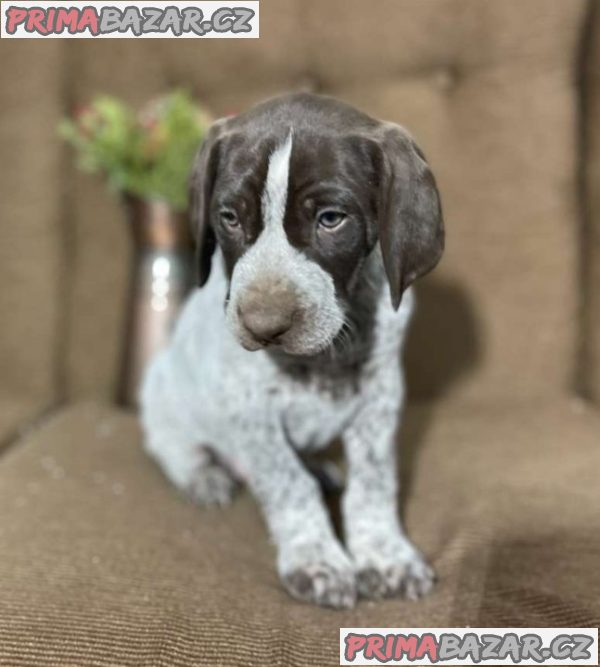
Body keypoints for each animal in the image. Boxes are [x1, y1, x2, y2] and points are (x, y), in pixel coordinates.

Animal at [139, 92, 440, 612]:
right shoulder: (250, 411)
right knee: (172, 443)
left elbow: (374, 481)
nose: (263, 327)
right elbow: (289, 484)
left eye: (331, 219)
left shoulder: (380, 400)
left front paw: (385, 555)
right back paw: (203, 474)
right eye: (230, 217)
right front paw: (316, 560)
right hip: (162, 390)